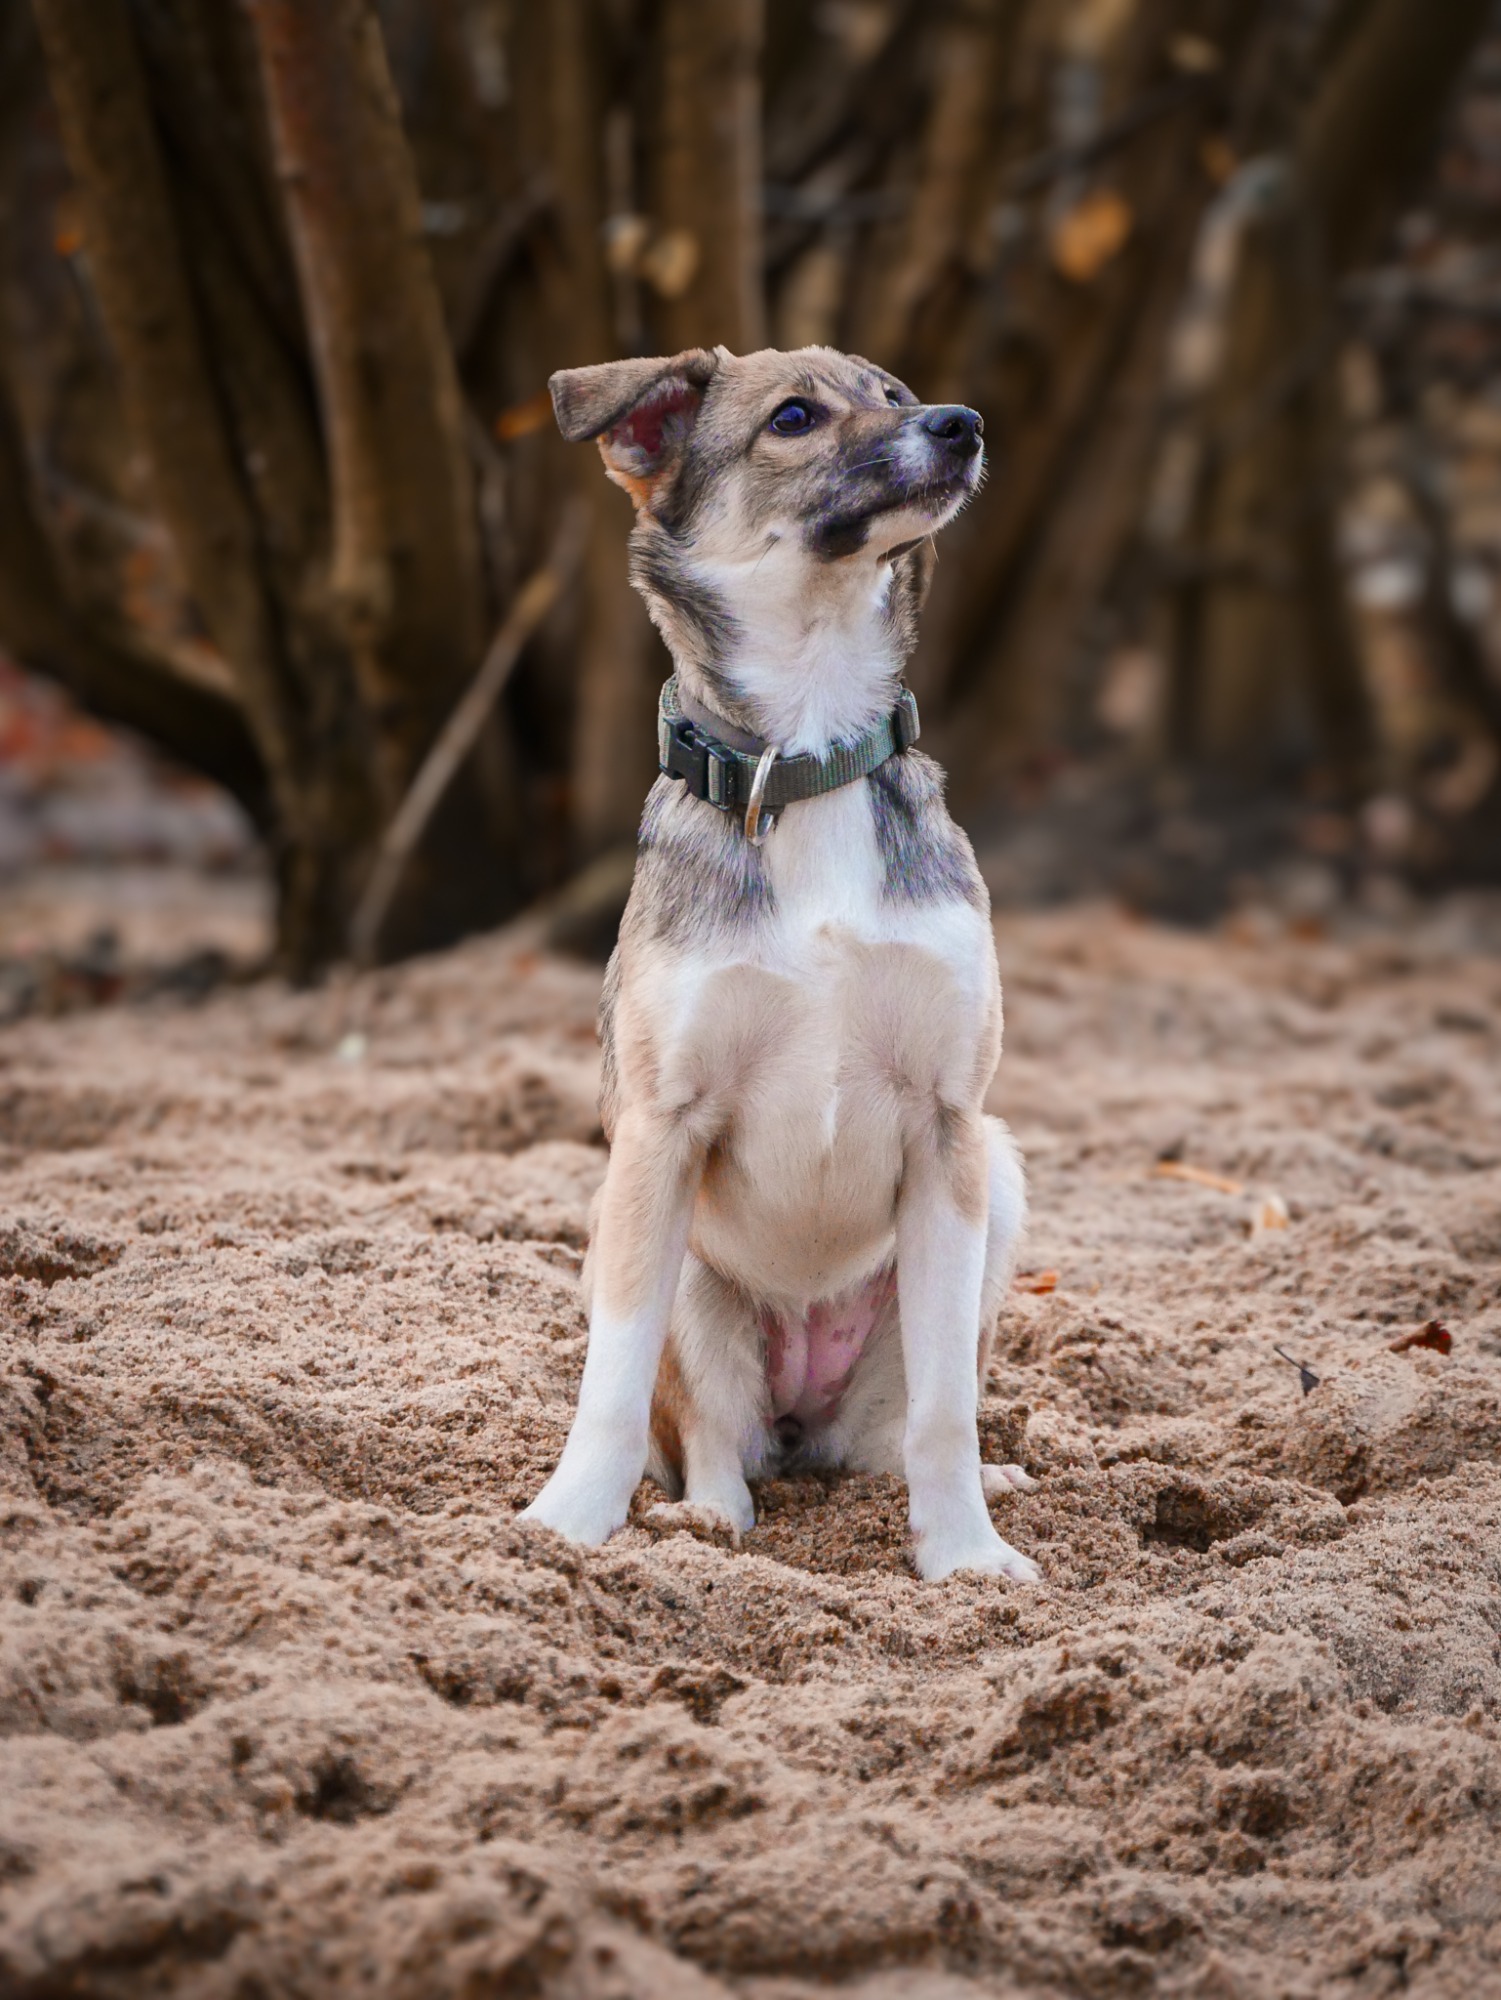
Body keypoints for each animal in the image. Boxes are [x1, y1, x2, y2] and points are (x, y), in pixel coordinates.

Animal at [520, 343, 1039, 1584]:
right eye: (794, 418)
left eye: (896, 396)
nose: (961, 424)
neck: (806, 758)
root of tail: (802, 1416)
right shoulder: (657, 1134)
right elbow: (610, 1384)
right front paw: (568, 1522)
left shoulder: (949, 1129)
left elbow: (944, 1409)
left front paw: (965, 1558)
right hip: (670, 1264)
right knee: (713, 1437)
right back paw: (705, 1519)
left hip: (997, 1184)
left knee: (896, 1433)